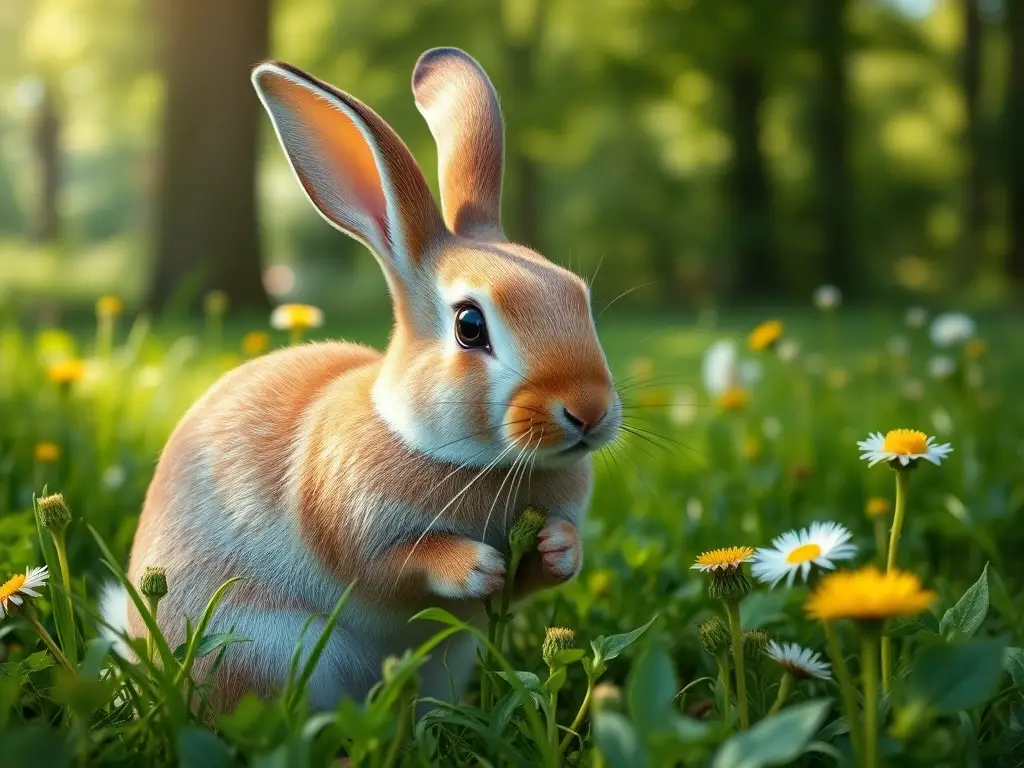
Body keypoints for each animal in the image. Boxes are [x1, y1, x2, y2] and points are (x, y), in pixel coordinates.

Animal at [105, 47, 621, 713]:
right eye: (470, 325)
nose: (588, 412)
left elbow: (539, 574)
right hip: (261, 649)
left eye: (579, 297)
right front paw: (473, 566)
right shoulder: (354, 530)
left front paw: (560, 547)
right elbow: (396, 567)